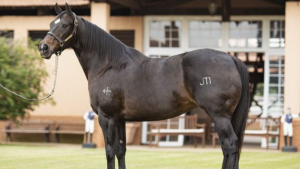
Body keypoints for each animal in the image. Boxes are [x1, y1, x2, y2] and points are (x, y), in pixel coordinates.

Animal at [38, 2, 248, 169]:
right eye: (50, 24)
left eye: (64, 25)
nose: (43, 47)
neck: (108, 64)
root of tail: (231, 58)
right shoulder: (120, 119)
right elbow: (121, 150)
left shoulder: (107, 117)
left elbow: (109, 151)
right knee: (229, 148)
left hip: (219, 116)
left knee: (230, 145)